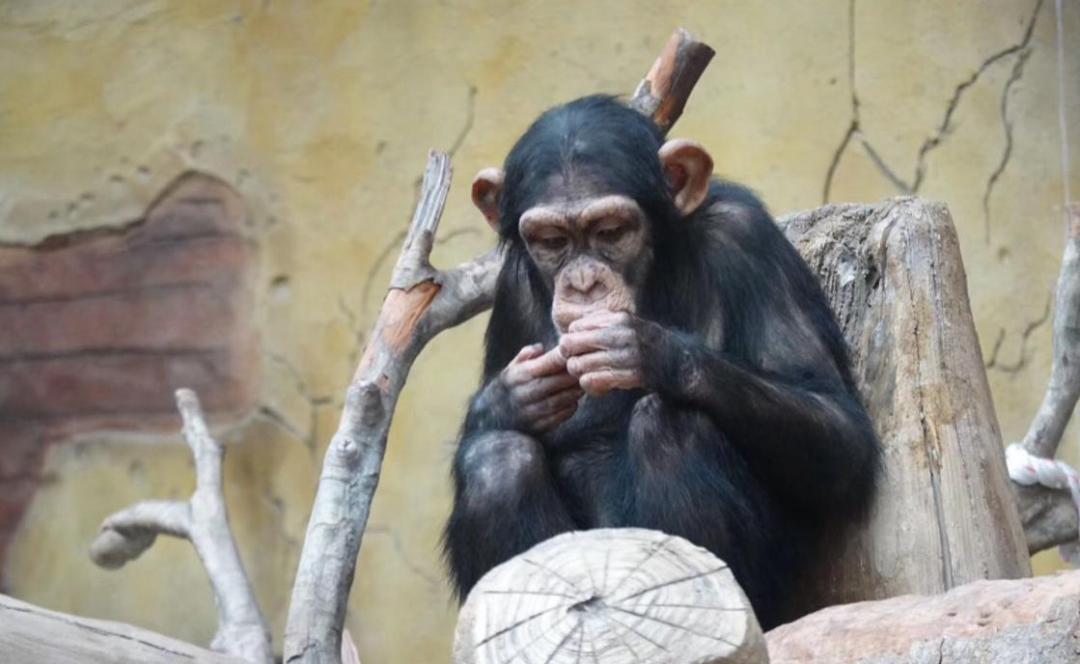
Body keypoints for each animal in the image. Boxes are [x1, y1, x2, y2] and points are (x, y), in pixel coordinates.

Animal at [442, 95, 881, 630]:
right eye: (551, 240)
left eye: (610, 231)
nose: (583, 283)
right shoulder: (511, 289)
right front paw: (515, 395)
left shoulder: (745, 235)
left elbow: (840, 431)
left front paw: (649, 350)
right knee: (497, 459)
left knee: (670, 425)